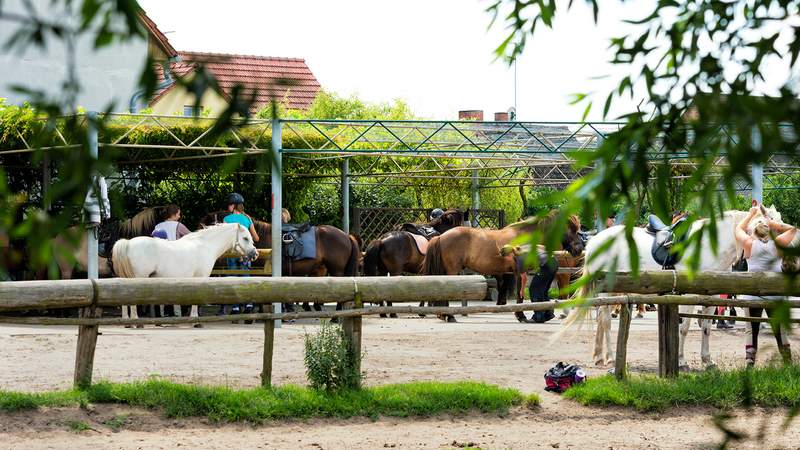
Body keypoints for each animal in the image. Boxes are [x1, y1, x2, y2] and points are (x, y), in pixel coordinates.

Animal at [110, 224, 256, 326]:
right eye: (245, 238)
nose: (254, 254)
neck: (205, 246)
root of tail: (128, 243)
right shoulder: (201, 278)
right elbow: (197, 301)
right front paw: (196, 322)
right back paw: (136, 323)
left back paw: (127, 323)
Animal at [564, 207, 780, 370]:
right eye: (762, 220)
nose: (776, 243)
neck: (708, 245)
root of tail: (595, 241)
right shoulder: (689, 294)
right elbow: (684, 328)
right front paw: (682, 361)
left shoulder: (711, 296)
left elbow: (706, 328)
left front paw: (707, 361)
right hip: (608, 288)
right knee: (606, 321)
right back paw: (609, 358)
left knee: (601, 319)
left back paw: (599, 357)